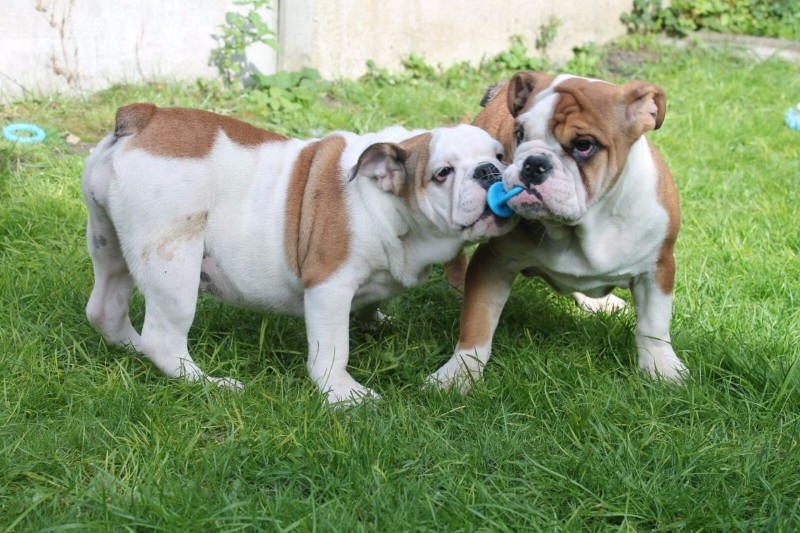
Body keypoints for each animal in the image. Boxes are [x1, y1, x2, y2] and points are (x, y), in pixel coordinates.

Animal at [84, 104, 510, 404]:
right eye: (443, 173)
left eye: (502, 155)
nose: (489, 171)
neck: (385, 200)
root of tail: (144, 117)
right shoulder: (329, 285)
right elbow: (333, 347)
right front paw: (343, 394)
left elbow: (368, 304)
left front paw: (374, 320)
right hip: (172, 261)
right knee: (163, 338)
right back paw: (209, 383)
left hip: (109, 241)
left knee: (106, 306)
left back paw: (131, 346)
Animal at [432, 71, 688, 390]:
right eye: (520, 134)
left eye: (584, 145)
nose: (534, 163)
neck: (584, 226)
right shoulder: (493, 262)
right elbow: (477, 321)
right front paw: (458, 373)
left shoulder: (658, 266)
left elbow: (654, 323)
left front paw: (660, 367)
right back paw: (458, 286)